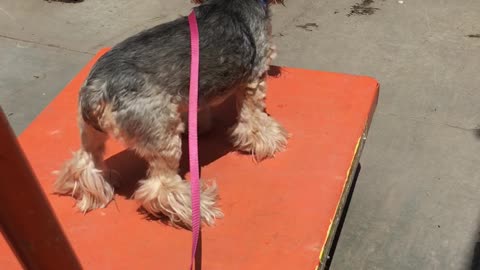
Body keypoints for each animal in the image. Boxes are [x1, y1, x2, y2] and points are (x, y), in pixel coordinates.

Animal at [55, 0, 288, 229]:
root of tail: (96, 89)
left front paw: (199, 127)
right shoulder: (254, 77)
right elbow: (253, 118)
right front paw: (269, 139)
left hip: (90, 132)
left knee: (86, 162)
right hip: (161, 134)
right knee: (161, 188)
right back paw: (198, 208)